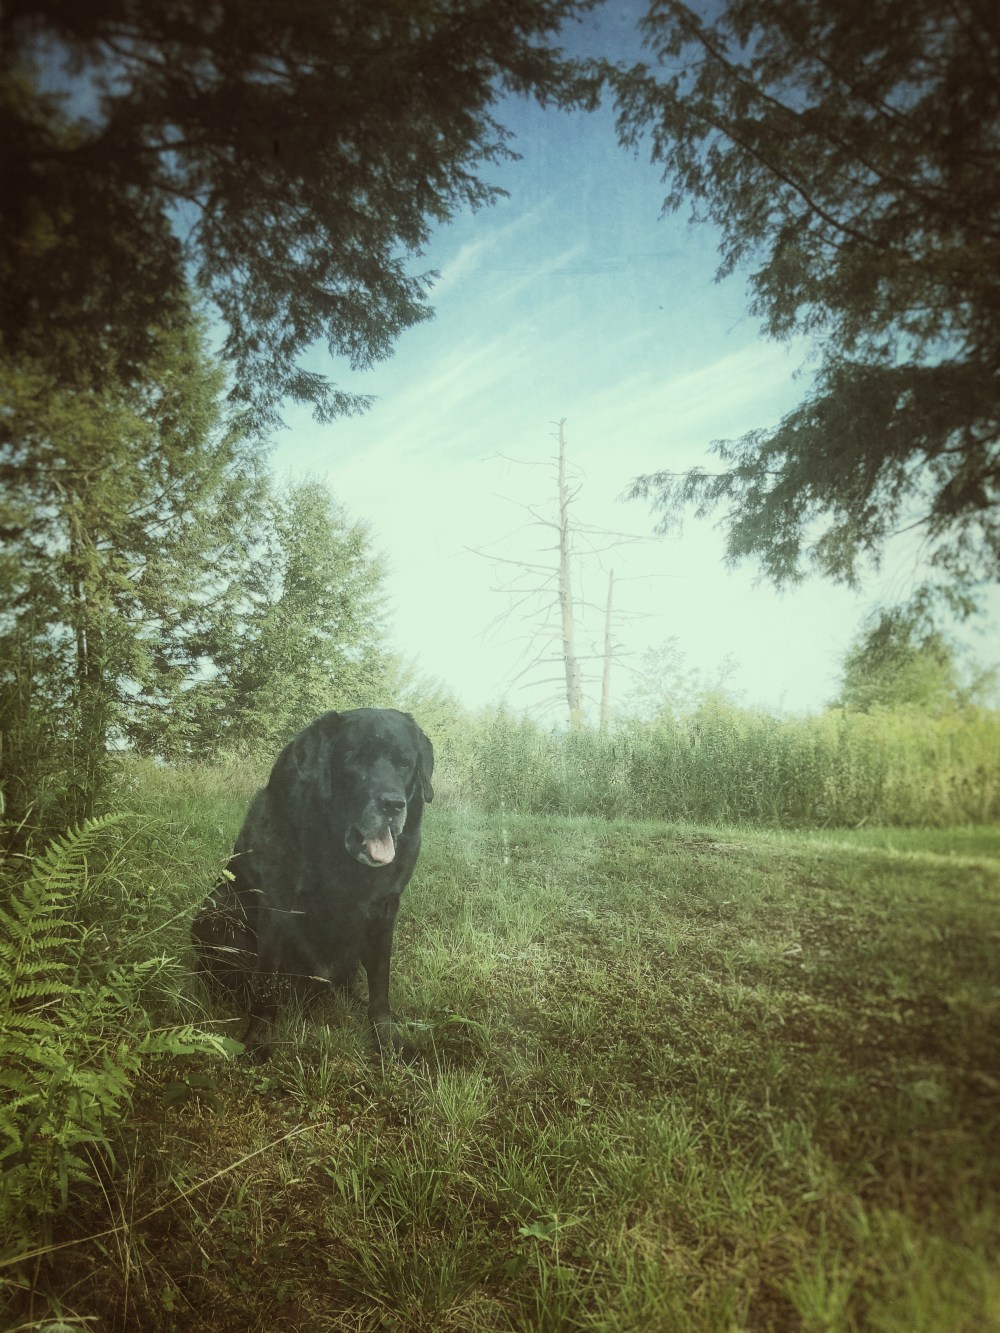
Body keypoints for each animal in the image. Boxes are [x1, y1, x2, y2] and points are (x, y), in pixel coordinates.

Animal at [191, 708, 433, 1062]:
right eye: (354, 759)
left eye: (405, 763)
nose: (393, 804)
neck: (336, 851)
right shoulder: (277, 903)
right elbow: (266, 984)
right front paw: (258, 1040)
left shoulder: (385, 909)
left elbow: (380, 985)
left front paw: (387, 1039)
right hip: (216, 913)